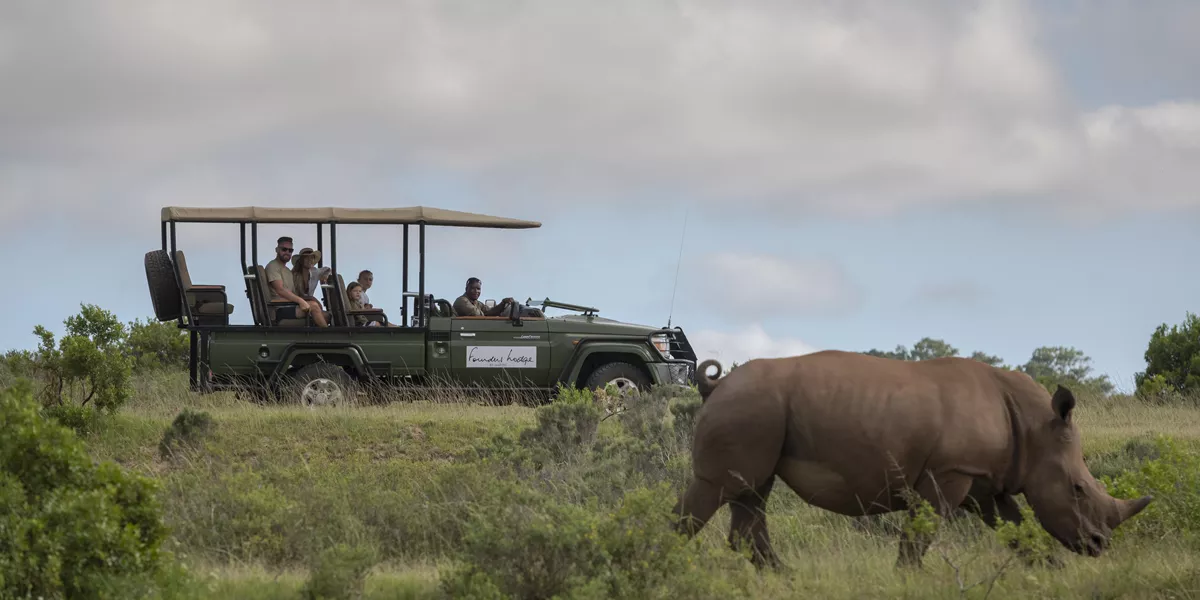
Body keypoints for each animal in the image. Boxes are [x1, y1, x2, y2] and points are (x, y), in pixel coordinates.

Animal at [672, 350, 1153, 569]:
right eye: (1078, 489)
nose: (1099, 546)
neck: (1036, 427)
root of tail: (715, 386)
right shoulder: (949, 472)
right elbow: (918, 535)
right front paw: (908, 577)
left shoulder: (985, 481)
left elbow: (1019, 530)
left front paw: (1052, 572)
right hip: (748, 409)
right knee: (718, 490)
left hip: (757, 413)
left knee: (750, 495)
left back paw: (784, 579)